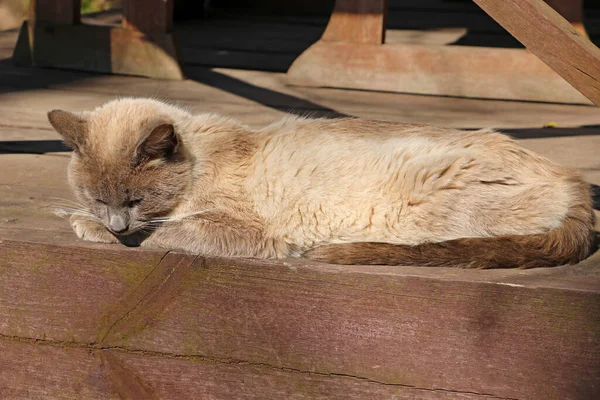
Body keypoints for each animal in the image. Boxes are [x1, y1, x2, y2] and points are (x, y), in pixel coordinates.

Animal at [47, 97, 596, 268]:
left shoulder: (242, 231)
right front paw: (82, 220)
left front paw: (95, 232)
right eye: (98, 197)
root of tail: (572, 177)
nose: (115, 223)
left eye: (135, 199)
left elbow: (159, 235)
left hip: (413, 209)